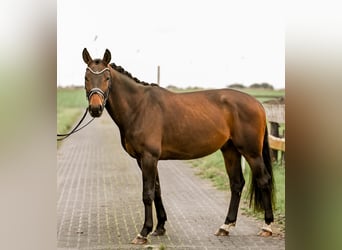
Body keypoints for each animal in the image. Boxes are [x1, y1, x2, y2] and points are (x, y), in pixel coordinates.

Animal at [82, 47, 276, 243]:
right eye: (86, 78)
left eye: (107, 78)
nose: (95, 109)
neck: (139, 107)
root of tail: (257, 103)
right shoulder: (145, 159)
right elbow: (157, 190)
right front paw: (160, 227)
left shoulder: (148, 157)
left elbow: (147, 193)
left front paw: (144, 232)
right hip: (230, 150)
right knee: (236, 183)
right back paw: (225, 226)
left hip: (251, 153)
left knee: (263, 180)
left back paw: (267, 226)